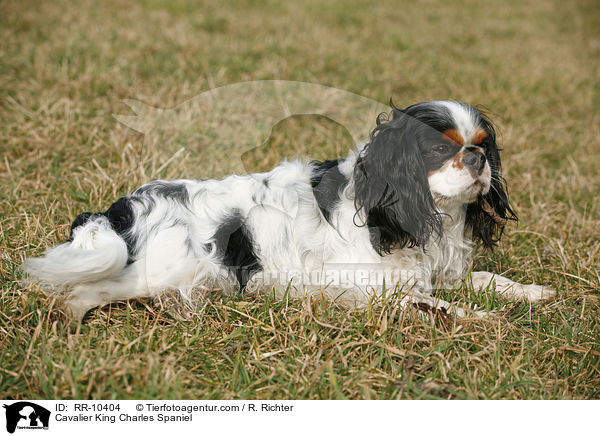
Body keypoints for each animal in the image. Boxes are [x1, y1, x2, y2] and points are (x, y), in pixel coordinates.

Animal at [24, 101, 556, 320]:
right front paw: (482, 319)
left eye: (483, 143)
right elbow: (430, 304)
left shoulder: (439, 269)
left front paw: (530, 292)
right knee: (89, 289)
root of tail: (124, 208)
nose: (477, 157)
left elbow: (485, 280)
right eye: (440, 150)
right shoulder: (361, 286)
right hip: (165, 269)